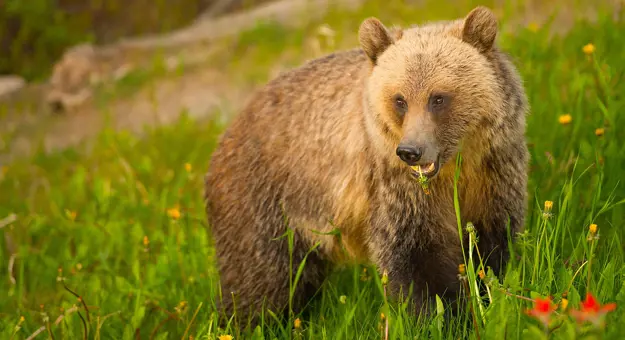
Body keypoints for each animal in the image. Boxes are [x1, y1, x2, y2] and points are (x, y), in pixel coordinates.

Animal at [204, 4, 528, 324]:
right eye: (400, 100)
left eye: (438, 98)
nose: (410, 151)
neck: (456, 165)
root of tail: (223, 136)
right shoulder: (395, 186)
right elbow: (415, 255)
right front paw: (443, 315)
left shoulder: (494, 170)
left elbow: (493, 242)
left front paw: (489, 296)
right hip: (265, 203)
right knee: (262, 278)